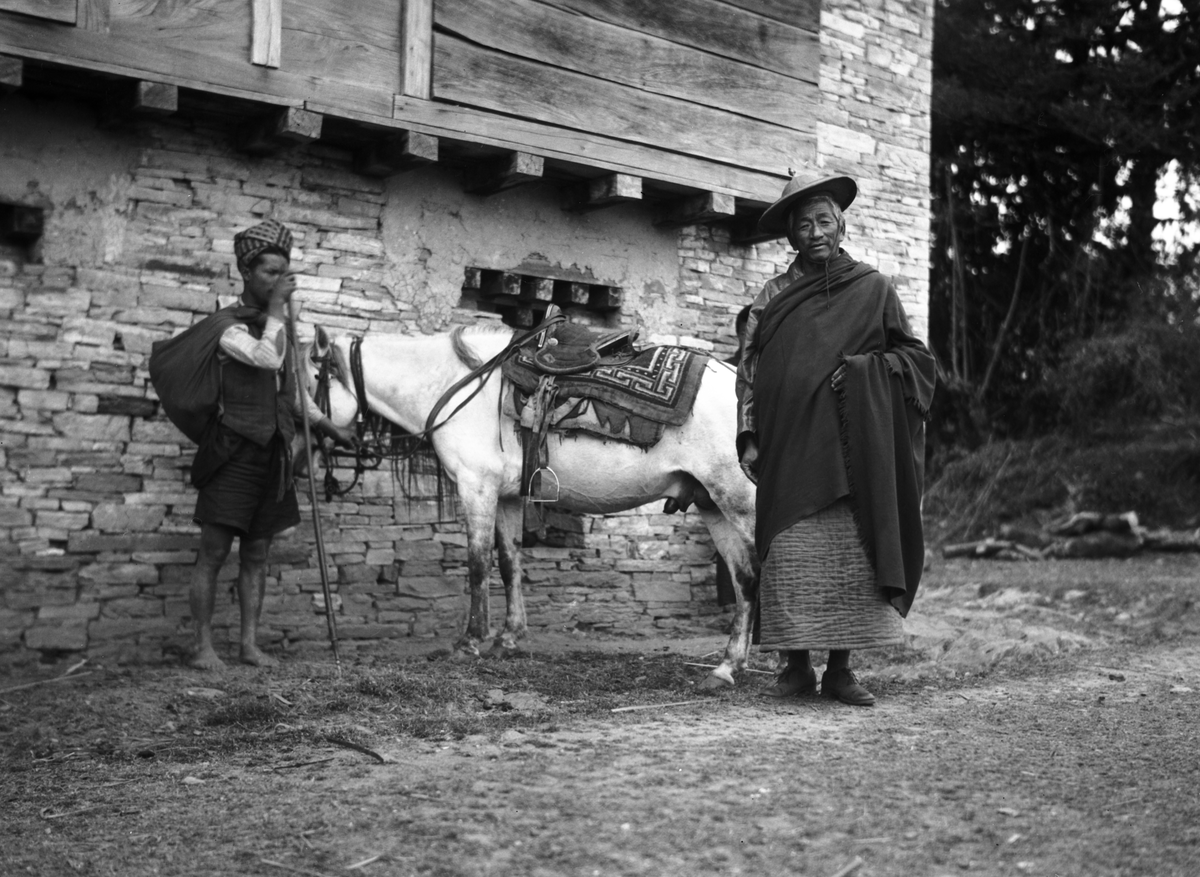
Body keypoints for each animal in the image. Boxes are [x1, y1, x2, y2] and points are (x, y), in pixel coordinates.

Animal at [307, 326, 758, 691]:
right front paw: (508, 638)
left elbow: (477, 564)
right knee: (744, 579)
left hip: (740, 501)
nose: (310, 435)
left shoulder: (476, 487)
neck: (452, 383)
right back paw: (726, 668)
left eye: (313, 378)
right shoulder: (505, 497)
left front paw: (470, 642)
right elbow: (509, 563)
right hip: (712, 503)